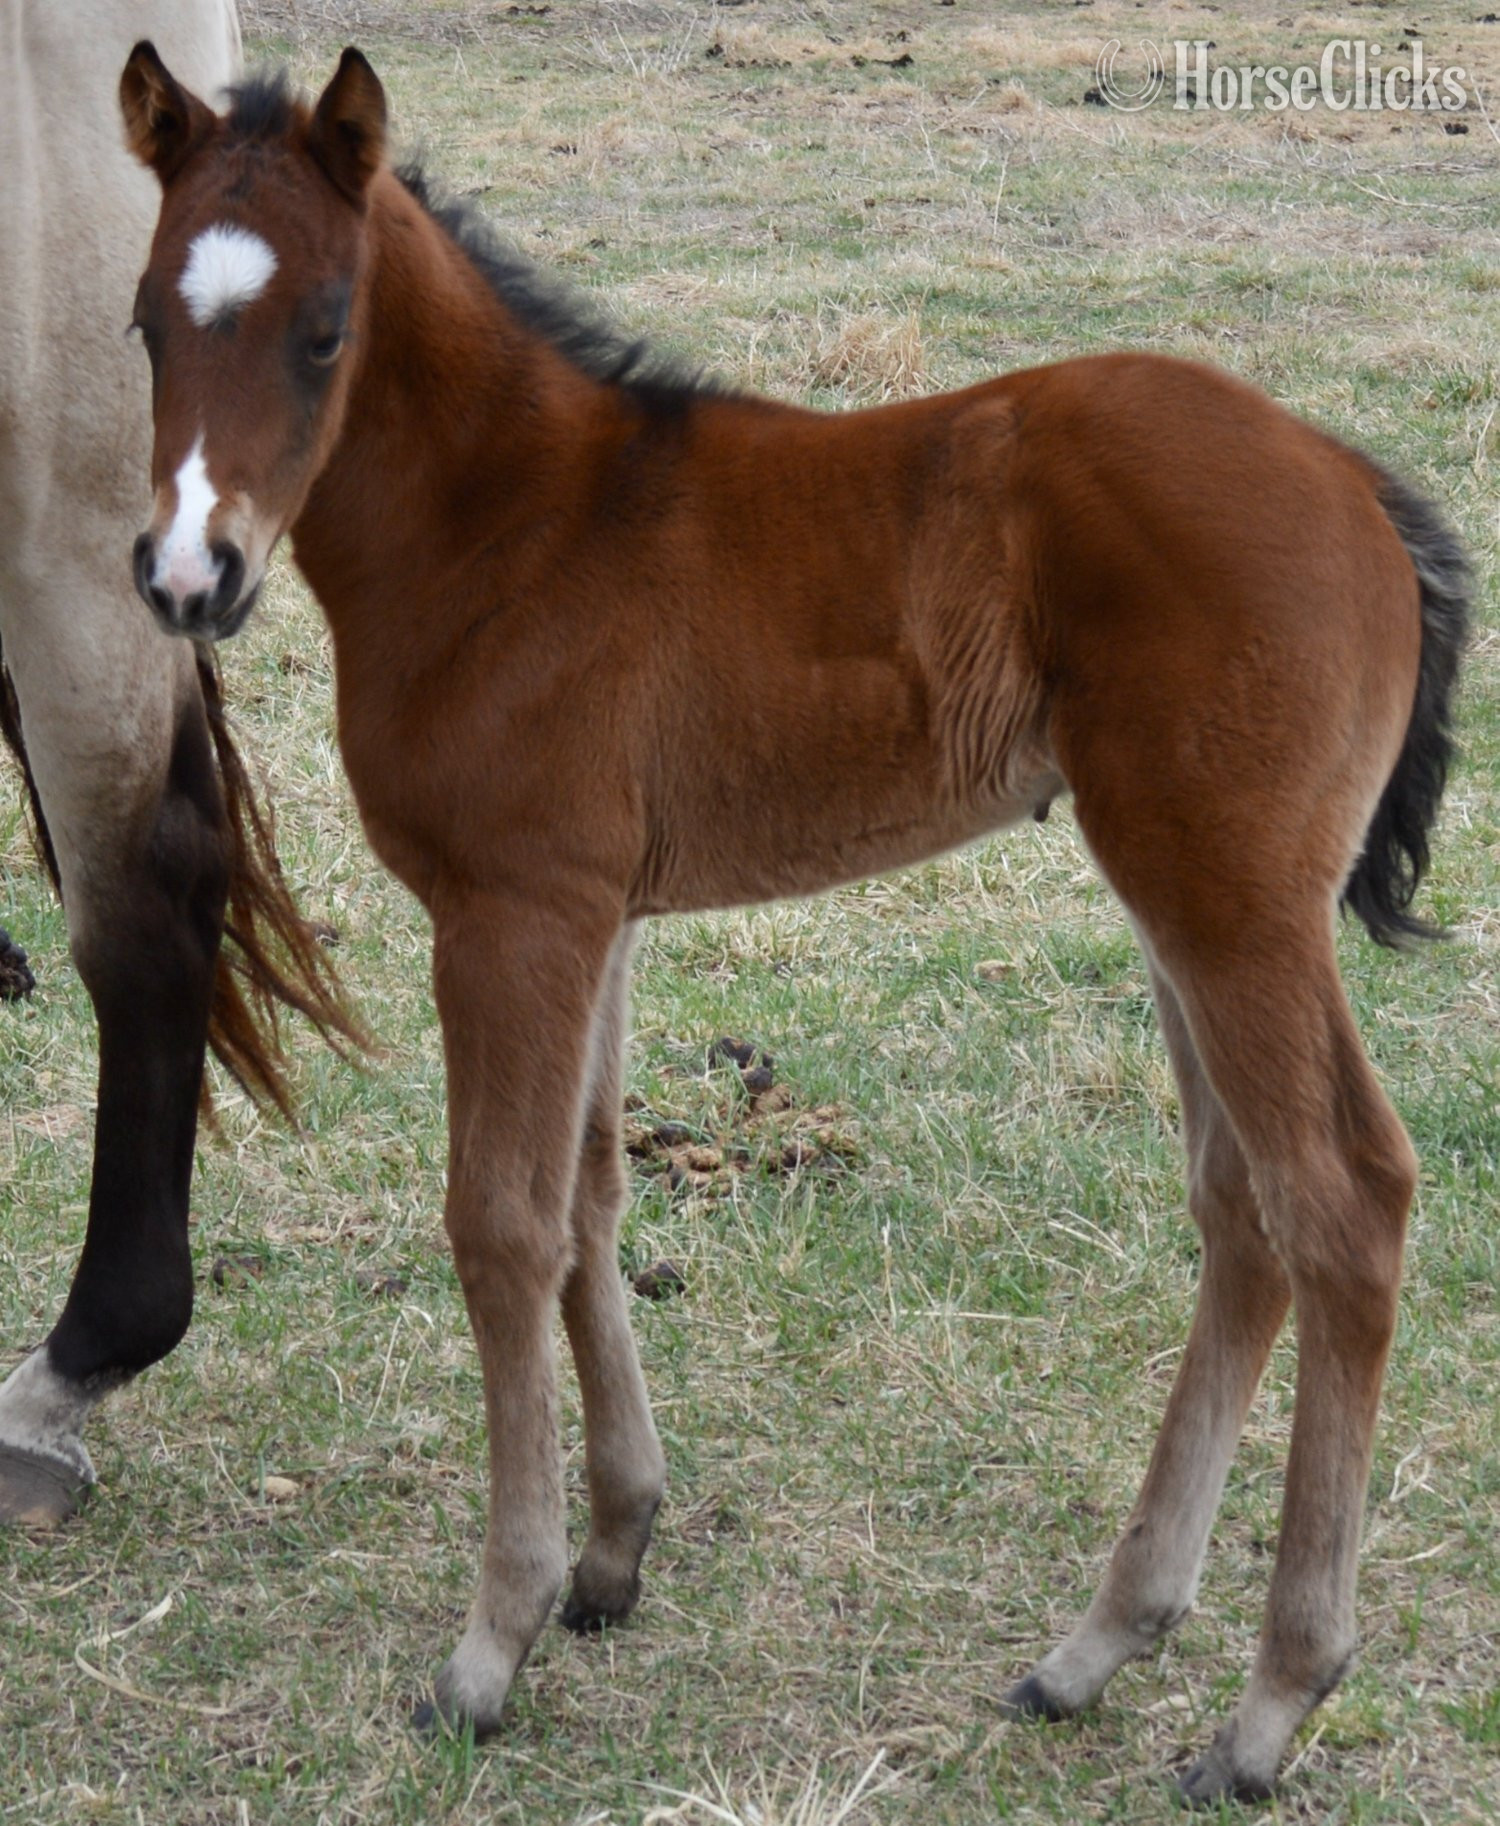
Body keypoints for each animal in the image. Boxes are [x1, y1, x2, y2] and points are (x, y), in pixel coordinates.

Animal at [116, 44, 1468, 1805]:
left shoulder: (511, 912)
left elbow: (502, 1224)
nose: (186, 575)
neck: (516, 528)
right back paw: (1099, 1644)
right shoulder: (597, 912)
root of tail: (1350, 478)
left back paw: (1269, 1704)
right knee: (1243, 1210)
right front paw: (614, 1550)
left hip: (1236, 903)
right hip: (1185, 896)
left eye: (326, 326)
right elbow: (592, 1194)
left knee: (1342, 1202)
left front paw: (491, 1642)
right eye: (146, 321)